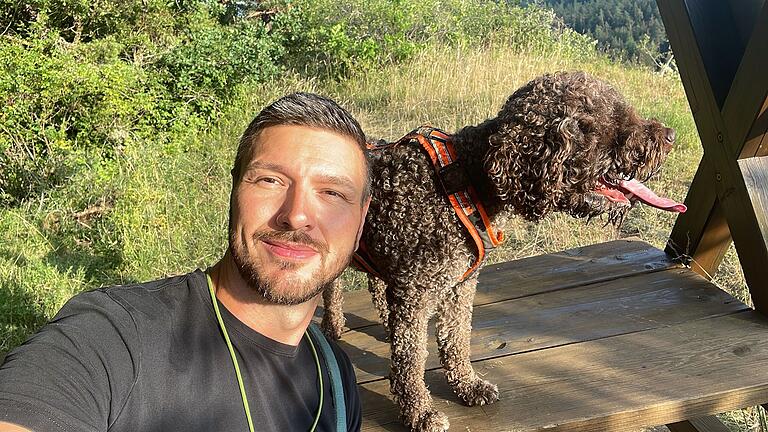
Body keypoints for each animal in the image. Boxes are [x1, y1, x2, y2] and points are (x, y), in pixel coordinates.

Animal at [320, 71, 680, 432]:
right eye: (607, 121)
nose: (670, 136)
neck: (467, 179)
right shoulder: (416, 295)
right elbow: (411, 361)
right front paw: (420, 412)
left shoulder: (459, 288)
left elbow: (456, 339)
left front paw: (466, 385)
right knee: (333, 285)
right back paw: (333, 325)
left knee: (372, 283)